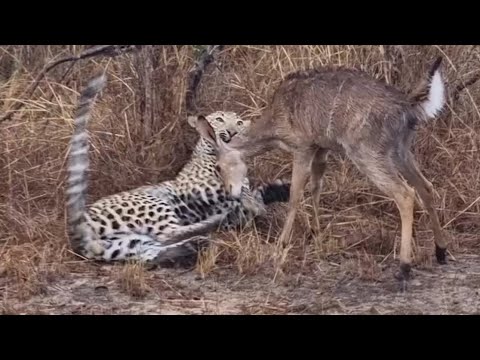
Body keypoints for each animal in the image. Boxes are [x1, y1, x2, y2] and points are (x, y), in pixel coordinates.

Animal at [64, 74, 288, 268]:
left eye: (239, 123)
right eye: (220, 120)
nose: (232, 132)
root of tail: (77, 231)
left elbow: (252, 193)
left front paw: (279, 190)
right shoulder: (198, 187)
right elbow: (237, 192)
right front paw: (252, 200)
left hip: (127, 244)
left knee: (155, 251)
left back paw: (194, 245)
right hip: (151, 202)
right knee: (169, 233)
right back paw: (214, 225)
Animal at [191, 56, 450, 286]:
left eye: (218, 166)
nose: (231, 193)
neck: (276, 121)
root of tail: (408, 109)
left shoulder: (303, 147)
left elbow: (295, 194)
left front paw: (281, 246)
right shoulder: (321, 148)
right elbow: (316, 187)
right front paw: (314, 234)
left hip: (368, 152)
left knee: (405, 194)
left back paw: (404, 269)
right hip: (400, 149)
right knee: (426, 186)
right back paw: (440, 252)